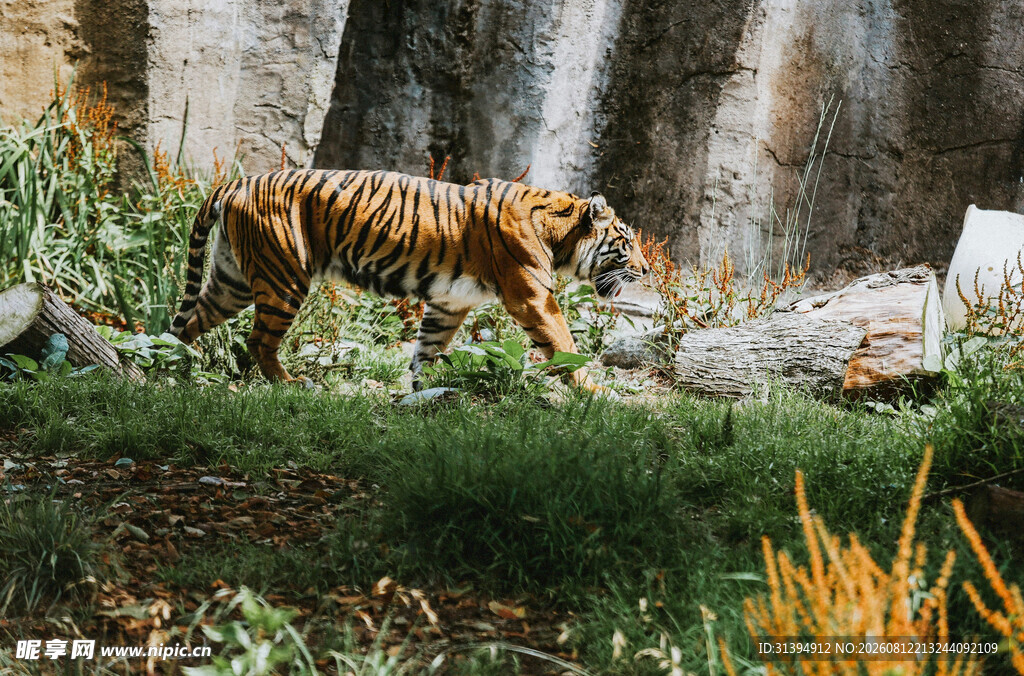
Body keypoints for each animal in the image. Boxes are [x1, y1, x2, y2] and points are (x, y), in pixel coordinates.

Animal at [169, 169, 649, 394]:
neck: (560, 232)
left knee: (187, 323)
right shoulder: (531, 297)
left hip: (232, 280)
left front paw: (424, 392)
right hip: (284, 277)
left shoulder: (449, 304)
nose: (646, 271)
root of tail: (236, 182)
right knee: (258, 341)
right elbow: (565, 344)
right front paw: (594, 392)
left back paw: (170, 369)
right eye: (626, 241)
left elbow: (427, 350)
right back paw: (289, 384)